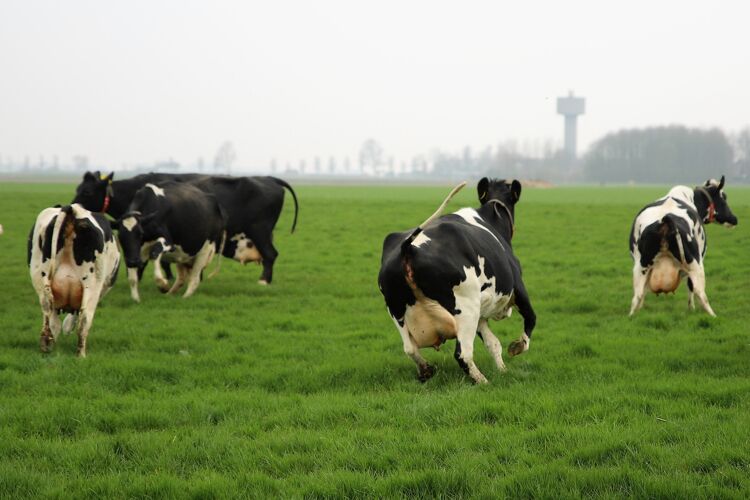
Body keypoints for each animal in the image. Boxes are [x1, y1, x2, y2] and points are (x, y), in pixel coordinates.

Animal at [28, 204, 120, 356]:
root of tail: (72, 208)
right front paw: (68, 327)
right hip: (93, 284)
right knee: (84, 320)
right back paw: (80, 355)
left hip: (39, 276)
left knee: (48, 310)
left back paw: (46, 345)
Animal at [72, 171, 299, 285]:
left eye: (86, 191)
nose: (72, 209)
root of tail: (269, 178)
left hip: (260, 232)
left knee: (270, 254)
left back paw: (264, 281)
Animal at [378, 178, 537, 384]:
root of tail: (408, 248)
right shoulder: (518, 288)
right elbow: (530, 319)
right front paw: (516, 348)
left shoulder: (481, 315)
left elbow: (493, 343)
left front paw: (502, 370)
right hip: (466, 308)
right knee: (463, 354)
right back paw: (483, 381)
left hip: (396, 311)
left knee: (410, 348)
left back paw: (427, 370)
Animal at [629, 176, 738, 317]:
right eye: (724, 198)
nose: (734, 219)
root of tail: (665, 220)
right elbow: (691, 287)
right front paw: (691, 309)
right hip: (696, 264)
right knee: (700, 292)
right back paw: (713, 316)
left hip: (640, 266)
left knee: (637, 295)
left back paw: (632, 316)